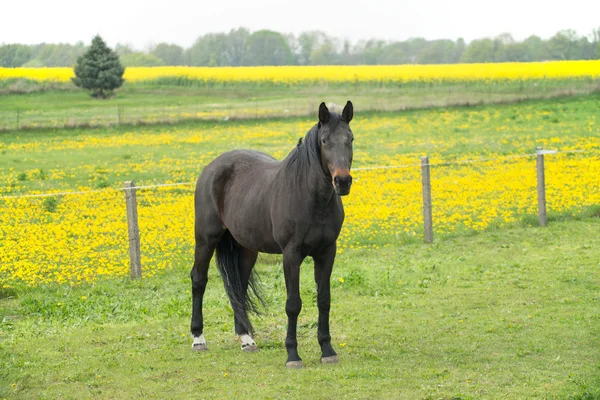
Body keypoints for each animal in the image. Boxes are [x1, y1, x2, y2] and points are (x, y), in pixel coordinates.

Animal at [190, 101, 354, 368]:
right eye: (324, 140)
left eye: (350, 138)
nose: (342, 181)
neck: (311, 199)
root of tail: (211, 168)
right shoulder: (291, 255)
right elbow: (293, 304)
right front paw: (293, 355)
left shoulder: (327, 252)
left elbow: (324, 300)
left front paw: (327, 350)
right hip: (206, 239)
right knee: (198, 280)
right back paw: (198, 338)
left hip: (246, 248)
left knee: (238, 285)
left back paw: (246, 339)